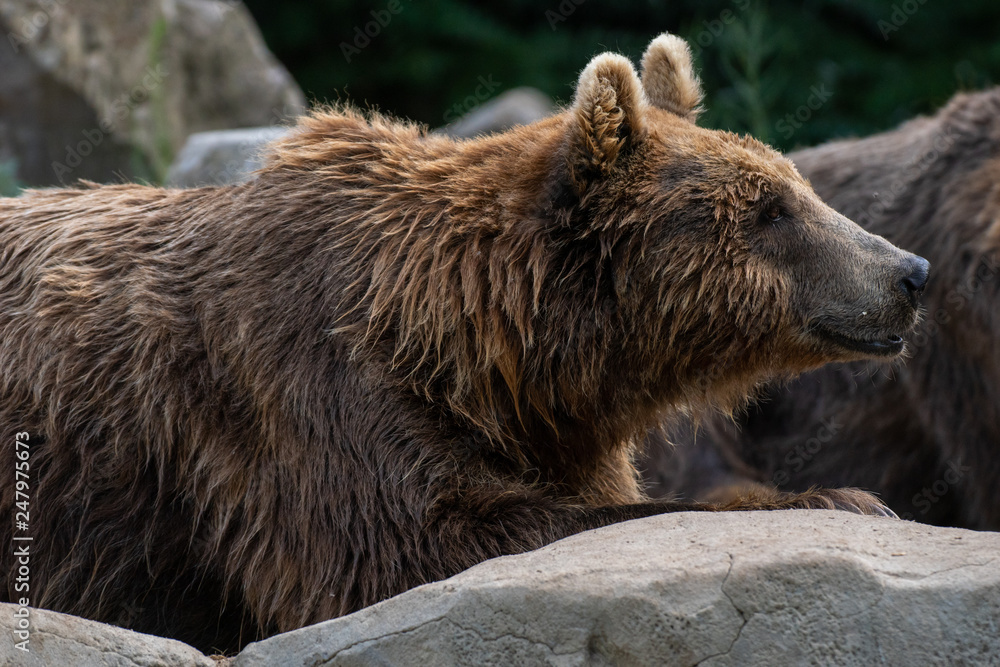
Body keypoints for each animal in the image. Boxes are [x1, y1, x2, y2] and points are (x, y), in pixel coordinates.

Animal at [0, 33, 929, 654]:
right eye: (770, 208)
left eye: (798, 183)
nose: (909, 270)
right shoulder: (300, 389)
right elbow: (409, 548)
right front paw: (837, 498)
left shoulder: (550, 427)